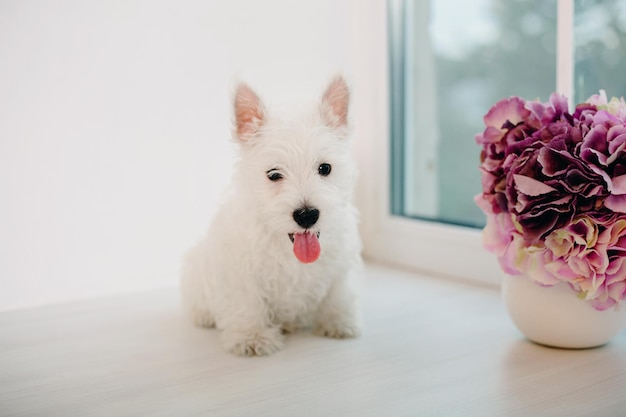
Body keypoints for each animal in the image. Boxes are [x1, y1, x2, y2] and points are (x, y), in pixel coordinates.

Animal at [180, 75, 360, 354]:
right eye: (274, 174)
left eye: (325, 168)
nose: (307, 215)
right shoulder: (240, 270)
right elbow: (247, 301)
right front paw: (253, 337)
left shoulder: (341, 264)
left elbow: (338, 293)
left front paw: (338, 322)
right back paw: (204, 316)